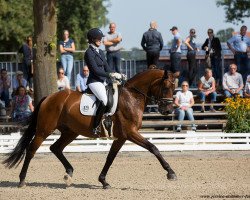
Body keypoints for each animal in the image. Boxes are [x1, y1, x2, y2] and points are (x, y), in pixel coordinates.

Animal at [2, 68, 178, 188]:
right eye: (165, 87)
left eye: (173, 88)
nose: (168, 110)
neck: (131, 98)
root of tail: (49, 97)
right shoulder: (131, 133)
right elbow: (153, 148)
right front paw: (171, 173)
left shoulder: (121, 137)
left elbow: (110, 157)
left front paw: (103, 181)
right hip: (44, 130)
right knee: (31, 150)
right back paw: (22, 179)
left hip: (70, 132)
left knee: (55, 148)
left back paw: (69, 173)